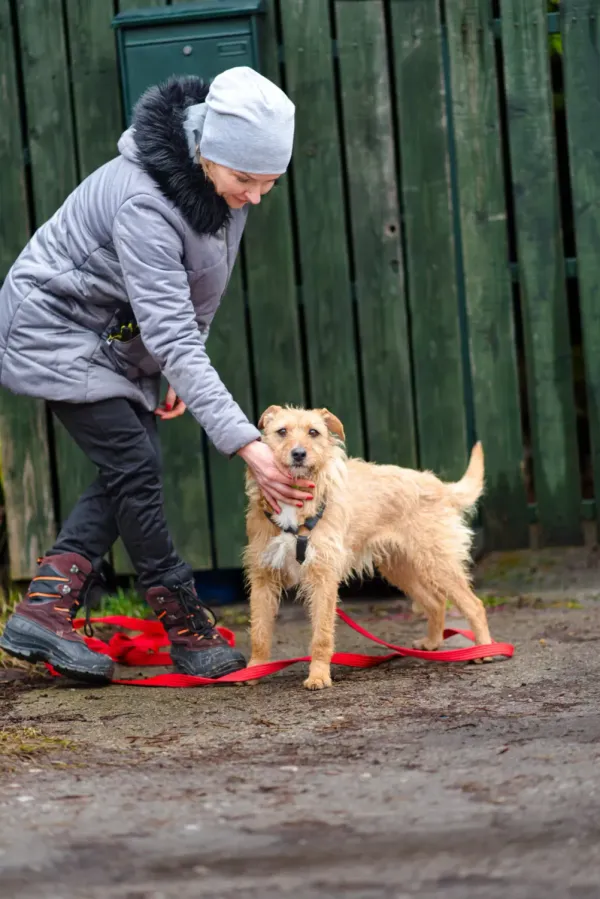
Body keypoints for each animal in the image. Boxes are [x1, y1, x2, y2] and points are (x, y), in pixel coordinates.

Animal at [244, 404, 492, 692]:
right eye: (281, 431)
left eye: (313, 432)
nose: (298, 454)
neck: (295, 502)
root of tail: (438, 485)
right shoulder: (263, 577)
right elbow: (259, 631)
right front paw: (254, 669)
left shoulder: (322, 578)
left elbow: (321, 635)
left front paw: (318, 675)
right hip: (400, 568)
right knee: (436, 602)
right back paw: (432, 643)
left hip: (437, 563)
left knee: (474, 604)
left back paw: (485, 649)